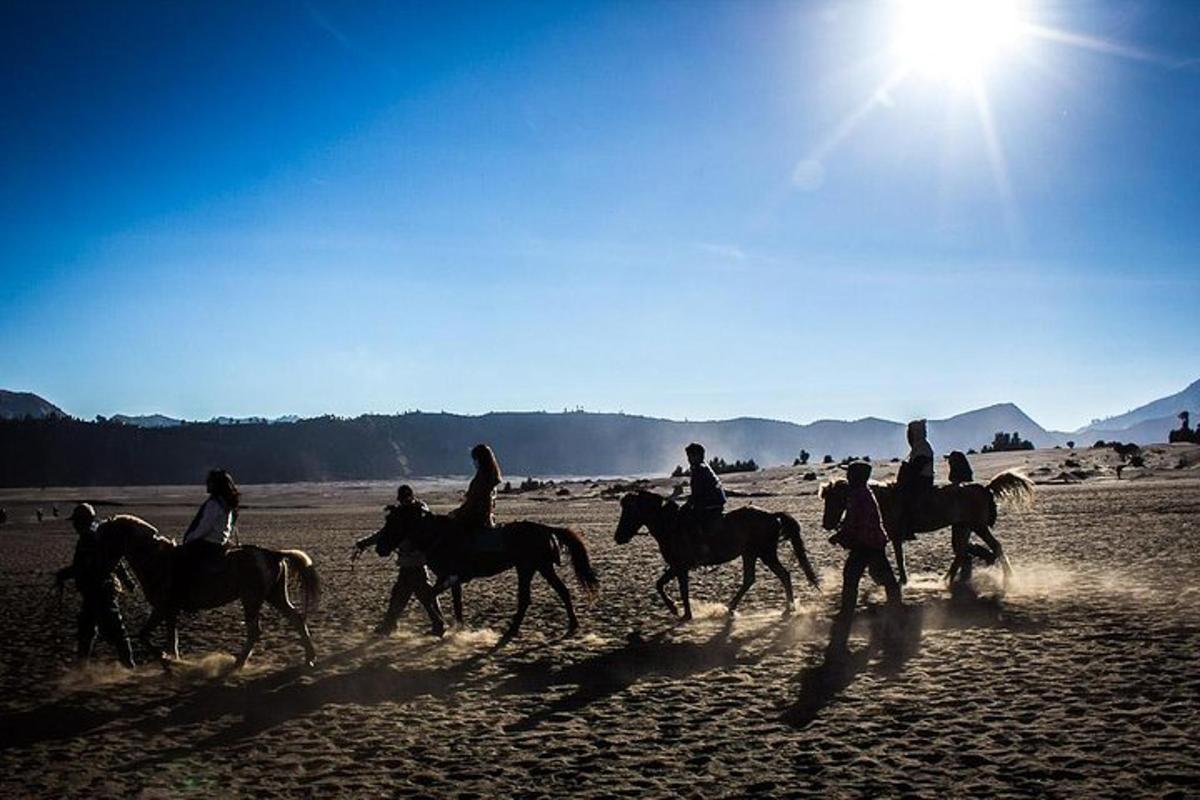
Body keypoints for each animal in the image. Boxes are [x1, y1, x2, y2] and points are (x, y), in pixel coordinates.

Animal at [98, 515, 321, 666]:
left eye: (106, 537)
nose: (102, 567)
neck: (156, 560)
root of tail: (272, 553)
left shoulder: (162, 608)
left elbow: (145, 635)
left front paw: (167, 661)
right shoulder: (170, 611)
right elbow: (170, 640)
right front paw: (172, 661)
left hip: (251, 599)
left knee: (255, 631)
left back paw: (238, 663)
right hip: (274, 595)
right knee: (296, 618)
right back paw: (309, 657)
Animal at [372, 503, 597, 642]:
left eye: (393, 523)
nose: (380, 548)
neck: (439, 535)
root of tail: (545, 528)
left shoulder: (449, 576)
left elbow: (428, 596)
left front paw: (441, 627)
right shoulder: (452, 578)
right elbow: (454, 603)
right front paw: (455, 628)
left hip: (527, 568)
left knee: (526, 599)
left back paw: (512, 630)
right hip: (541, 567)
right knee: (561, 591)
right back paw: (572, 624)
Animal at [614, 491, 820, 623]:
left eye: (630, 512)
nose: (618, 537)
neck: (671, 525)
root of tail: (772, 515)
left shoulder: (680, 566)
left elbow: (680, 589)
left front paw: (682, 613)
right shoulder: (676, 567)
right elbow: (661, 584)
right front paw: (678, 610)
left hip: (765, 553)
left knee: (783, 575)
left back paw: (787, 609)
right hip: (750, 553)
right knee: (750, 579)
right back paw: (732, 609)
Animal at [820, 470, 1036, 587]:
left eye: (835, 499)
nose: (827, 524)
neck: (882, 499)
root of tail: (985, 488)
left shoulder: (894, 535)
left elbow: (899, 558)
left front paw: (902, 580)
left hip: (978, 526)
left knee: (994, 546)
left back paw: (1009, 577)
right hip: (963, 527)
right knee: (961, 553)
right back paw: (947, 579)